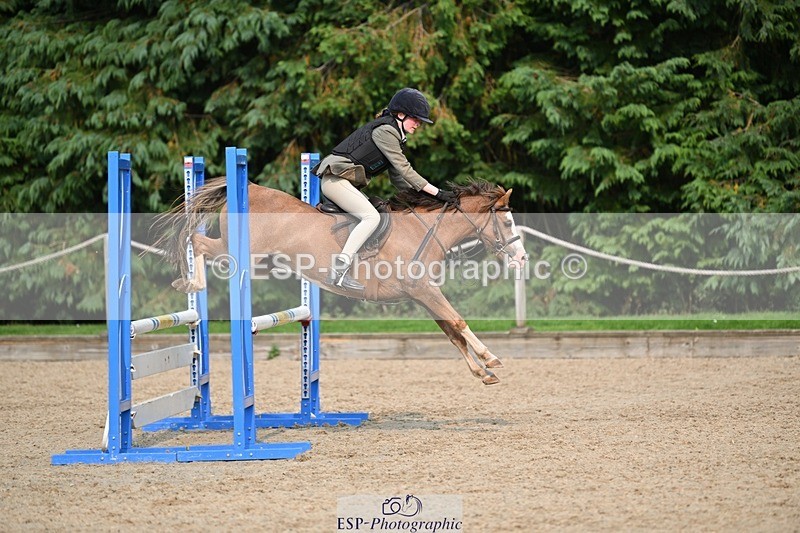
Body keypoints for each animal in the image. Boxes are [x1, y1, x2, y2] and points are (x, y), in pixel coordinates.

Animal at [161, 179, 528, 385]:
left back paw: (187, 286)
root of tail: (250, 188)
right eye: (508, 222)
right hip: (241, 253)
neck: (423, 230)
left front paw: (483, 373)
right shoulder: (423, 290)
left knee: (198, 241)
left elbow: (451, 332)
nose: (522, 258)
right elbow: (458, 321)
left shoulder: (422, 295)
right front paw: (491, 359)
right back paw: (189, 285)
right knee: (197, 240)